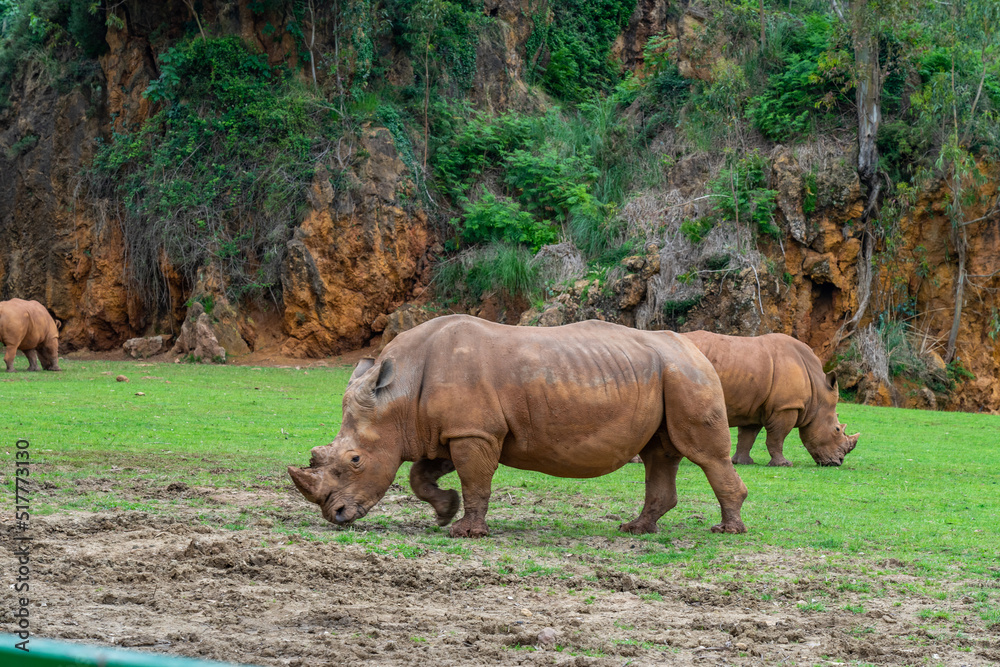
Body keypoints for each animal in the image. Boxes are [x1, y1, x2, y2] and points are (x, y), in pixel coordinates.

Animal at [289, 315, 748, 538]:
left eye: (355, 460)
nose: (336, 515)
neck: (398, 395)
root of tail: (693, 346)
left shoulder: (473, 432)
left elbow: (475, 481)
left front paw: (465, 533)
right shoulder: (455, 430)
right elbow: (422, 475)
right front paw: (444, 512)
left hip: (688, 373)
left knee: (703, 453)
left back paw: (726, 530)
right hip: (668, 373)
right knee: (659, 453)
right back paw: (636, 530)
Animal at [681, 331, 859, 467]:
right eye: (837, 429)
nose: (838, 462)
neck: (817, 394)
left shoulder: (752, 407)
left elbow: (747, 437)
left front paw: (743, 462)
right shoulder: (786, 406)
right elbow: (777, 437)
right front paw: (784, 464)